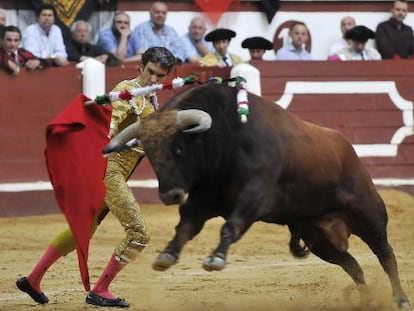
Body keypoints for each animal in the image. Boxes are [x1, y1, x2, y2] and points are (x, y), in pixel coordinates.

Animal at [104, 83, 410, 310]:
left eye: (179, 148)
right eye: (150, 154)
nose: (170, 195)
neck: (224, 138)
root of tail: (350, 151)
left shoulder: (254, 197)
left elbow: (231, 226)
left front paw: (216, 259)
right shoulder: (201, 201)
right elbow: (185, 228)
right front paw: (167, 255)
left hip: (369, 216)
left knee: (386, 255)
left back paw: (401, 299)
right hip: (318, 239)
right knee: (353, 265)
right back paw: (368, 300)